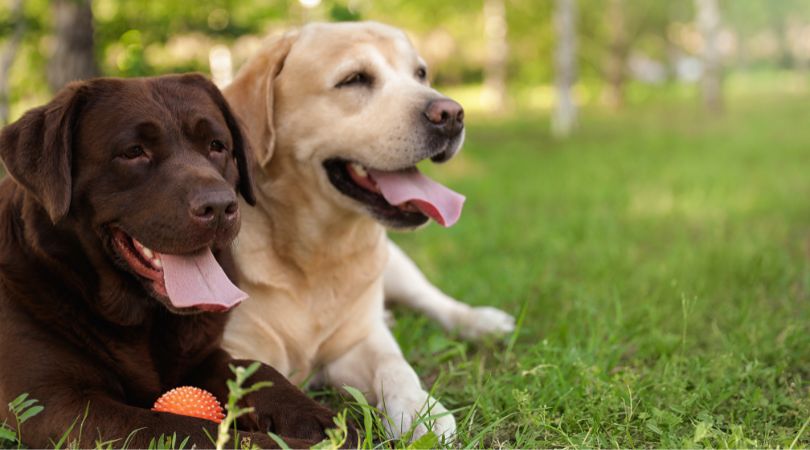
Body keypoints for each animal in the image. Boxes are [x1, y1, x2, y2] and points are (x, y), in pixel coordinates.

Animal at [0, 74, 354, 446]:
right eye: (133, 152)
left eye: (217, 145)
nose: (219, 206)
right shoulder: (52, 402)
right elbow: (179, 427)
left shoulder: (204, 356)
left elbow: (256, 371)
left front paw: (318, 419)